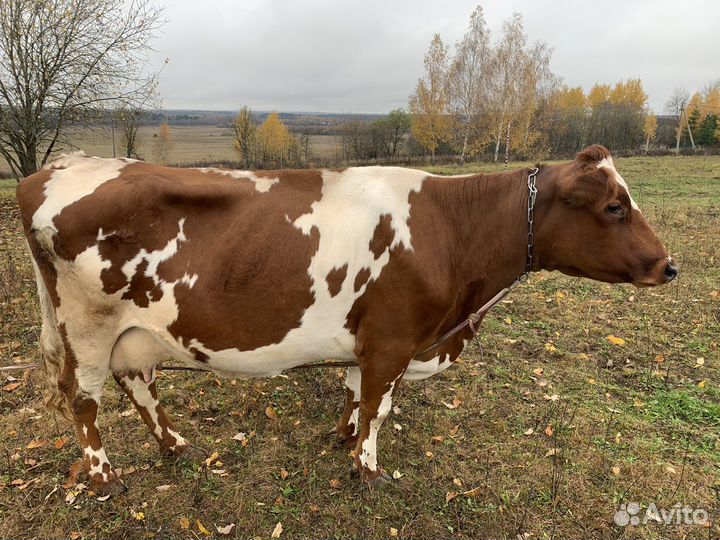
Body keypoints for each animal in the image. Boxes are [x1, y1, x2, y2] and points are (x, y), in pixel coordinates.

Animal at [16, 144, 676, 493]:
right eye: (615, 208)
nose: (669, 266)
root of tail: (54, 169)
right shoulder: (394, 340)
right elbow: (379, 404)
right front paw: (368, 467)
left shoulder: (374, 342)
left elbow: (358, 393)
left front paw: (345, 437)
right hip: (87, 329)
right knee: (85, 400)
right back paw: (103, 476)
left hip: (132, 331)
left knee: (139, 384)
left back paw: (174, 444)